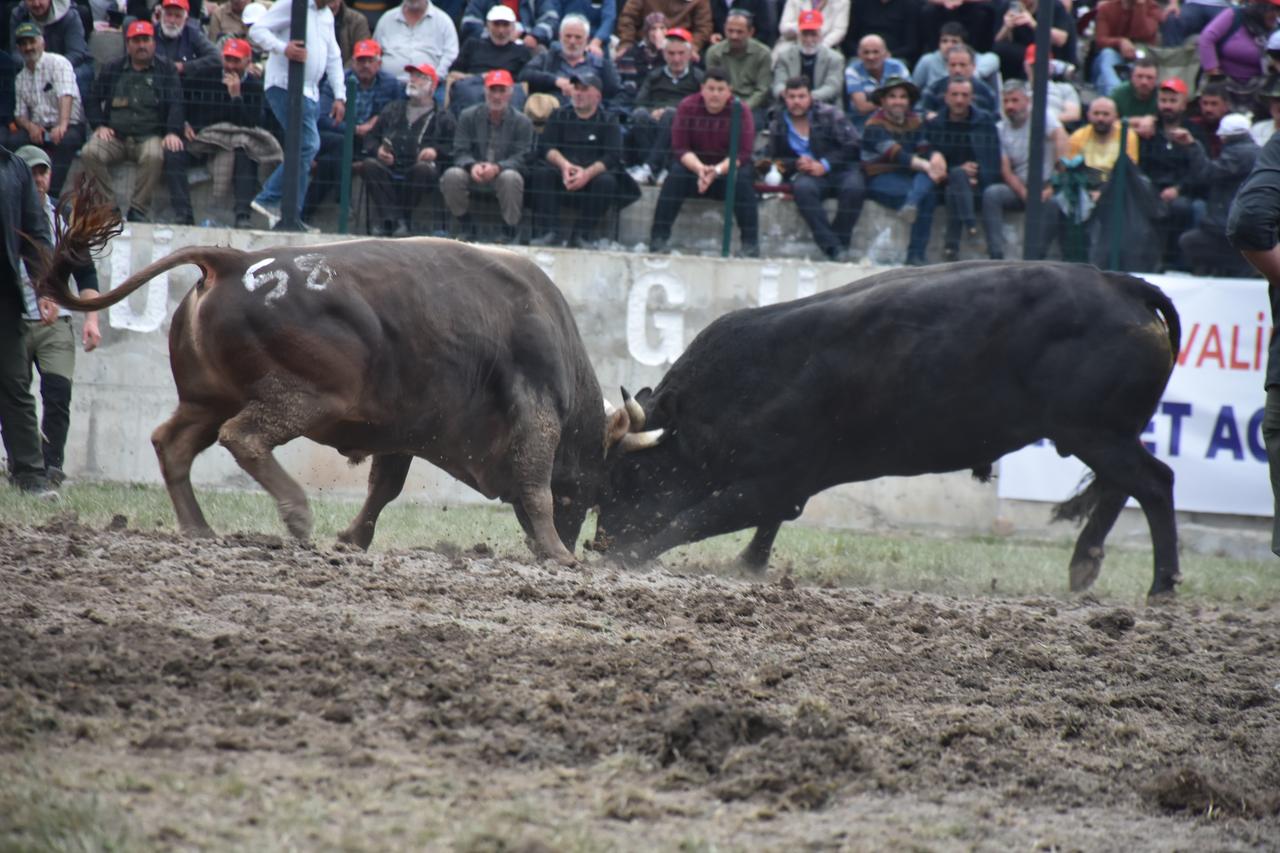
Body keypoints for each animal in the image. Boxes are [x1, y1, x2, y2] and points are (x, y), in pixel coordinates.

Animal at [36, 185, 661, 564]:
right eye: (599, 486)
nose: (582, 539)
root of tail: (235, 262)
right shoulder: (535, 417)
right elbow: (535, 487)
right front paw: (558, 553)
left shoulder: (406, 428)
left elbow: (385, 486)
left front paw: (353, 539)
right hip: (306, 397)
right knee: (245, 437)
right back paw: (295, 514)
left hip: (206, 399)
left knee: (173, 444)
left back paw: (199, 528)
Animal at [594, 261, 1183, 600]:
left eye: (627, 478)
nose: (599, 542)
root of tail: (1121, 284)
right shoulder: (788, 485)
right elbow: (763, 525)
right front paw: (750, 564)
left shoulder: (771, 483)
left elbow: (694, 518)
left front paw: (630, 558)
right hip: (1101, 435)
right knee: (1120, 488)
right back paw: (1084, 565)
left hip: (1096, 432)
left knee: (1154, 483)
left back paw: (1161, 585)